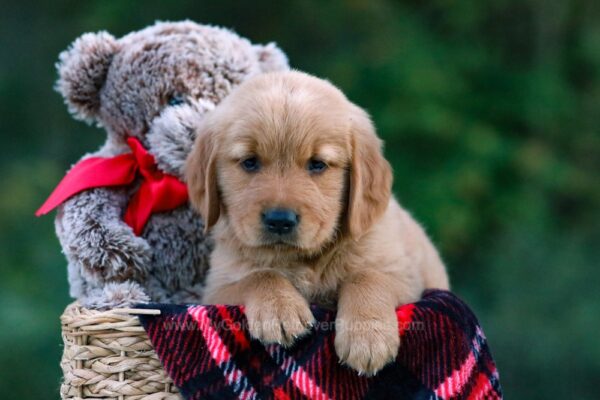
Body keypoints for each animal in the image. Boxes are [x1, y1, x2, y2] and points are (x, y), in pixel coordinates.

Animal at [185, 71, 448, 376]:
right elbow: (260, 275)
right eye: (249, 162)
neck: (302, 260)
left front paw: (367, 338)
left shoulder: (405, 275)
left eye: (317, 164)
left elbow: (367, 275)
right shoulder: (215, 290)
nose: (279, 221)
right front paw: (280, 308)